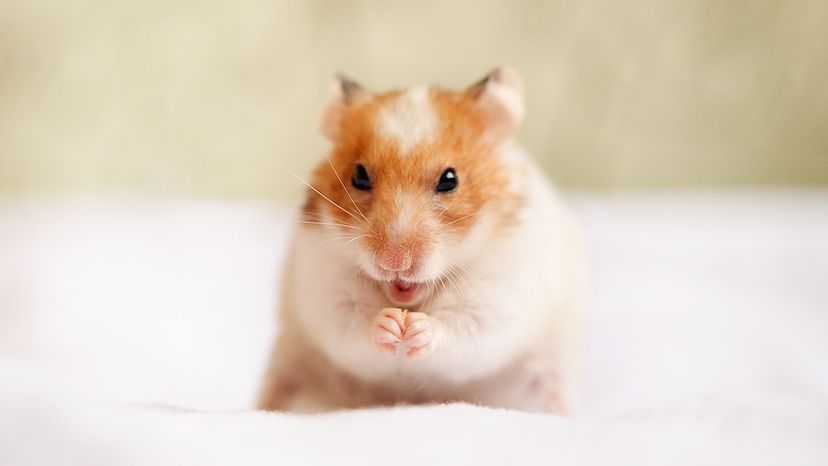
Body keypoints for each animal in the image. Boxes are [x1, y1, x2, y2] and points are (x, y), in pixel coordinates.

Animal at [258, 66, 587, 414]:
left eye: (450, 179)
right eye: (358, 176)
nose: (394, 262)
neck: (410, 299)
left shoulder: (499, 297)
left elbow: (464, 327)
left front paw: (415, 328)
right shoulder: (325, 289)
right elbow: (353, 321)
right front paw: (391, 323)